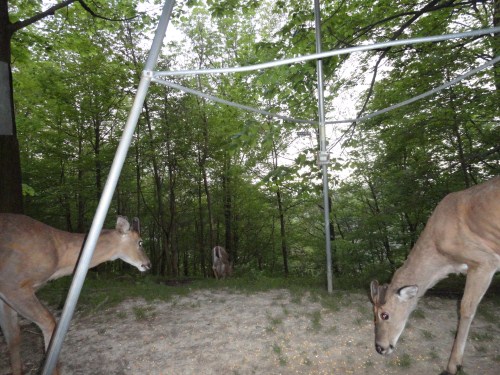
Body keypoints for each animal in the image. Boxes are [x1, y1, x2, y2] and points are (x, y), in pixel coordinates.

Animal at [0, 214, 152, 375]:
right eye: (140, 242)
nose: (149, 264)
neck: (59, 256)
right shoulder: (11, 283)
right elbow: (48, 324)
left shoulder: (6, 295)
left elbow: (13, 336)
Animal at [370, 177, 498, 375]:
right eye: (373, 314)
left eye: (385, 315)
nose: (379, 347)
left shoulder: (485, 260)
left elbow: (466, 308)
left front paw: (453, 365)